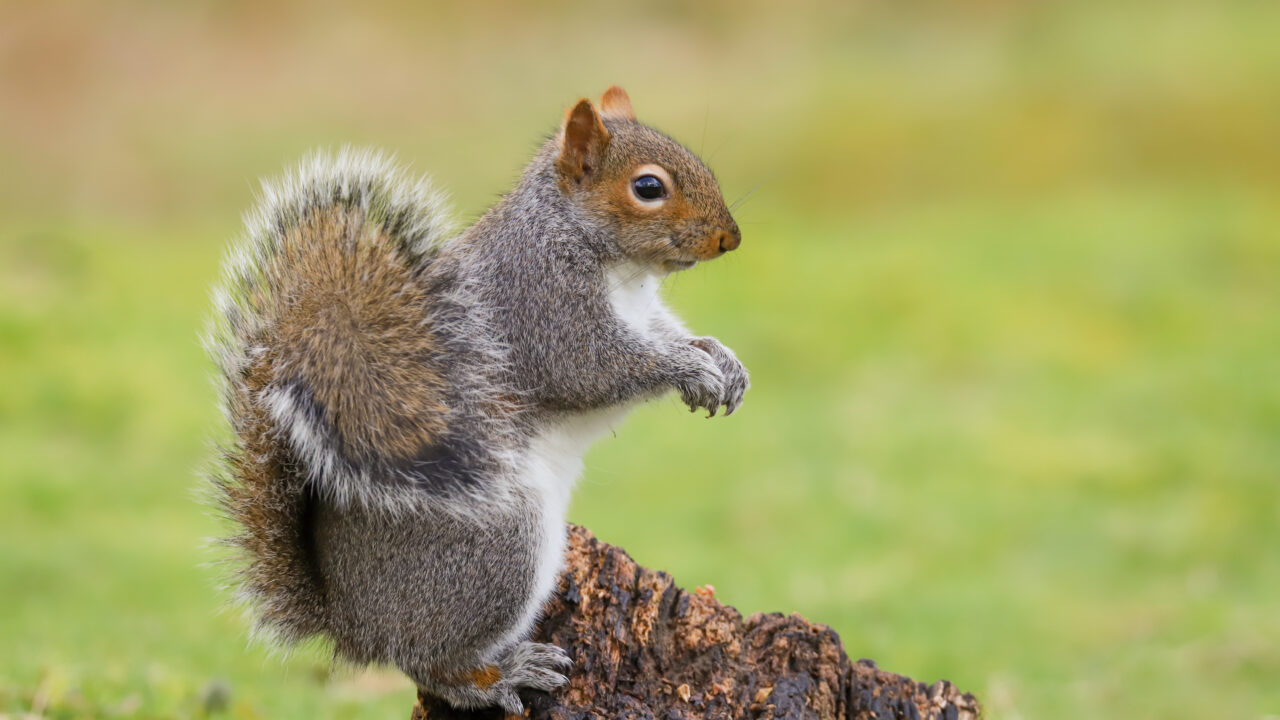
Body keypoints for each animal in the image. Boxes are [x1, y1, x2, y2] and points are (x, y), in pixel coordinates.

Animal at [206, 85, 747, 714]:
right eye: (649, 188)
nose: (730, 238)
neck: (616, 265)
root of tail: (350, 624)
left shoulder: (644, 314)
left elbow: (671, 334)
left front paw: (720, 359)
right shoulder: (543, 304)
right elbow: (593, 369)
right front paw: (689, 368)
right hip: (498, 546)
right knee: (428, 662)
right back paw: (501, 675)